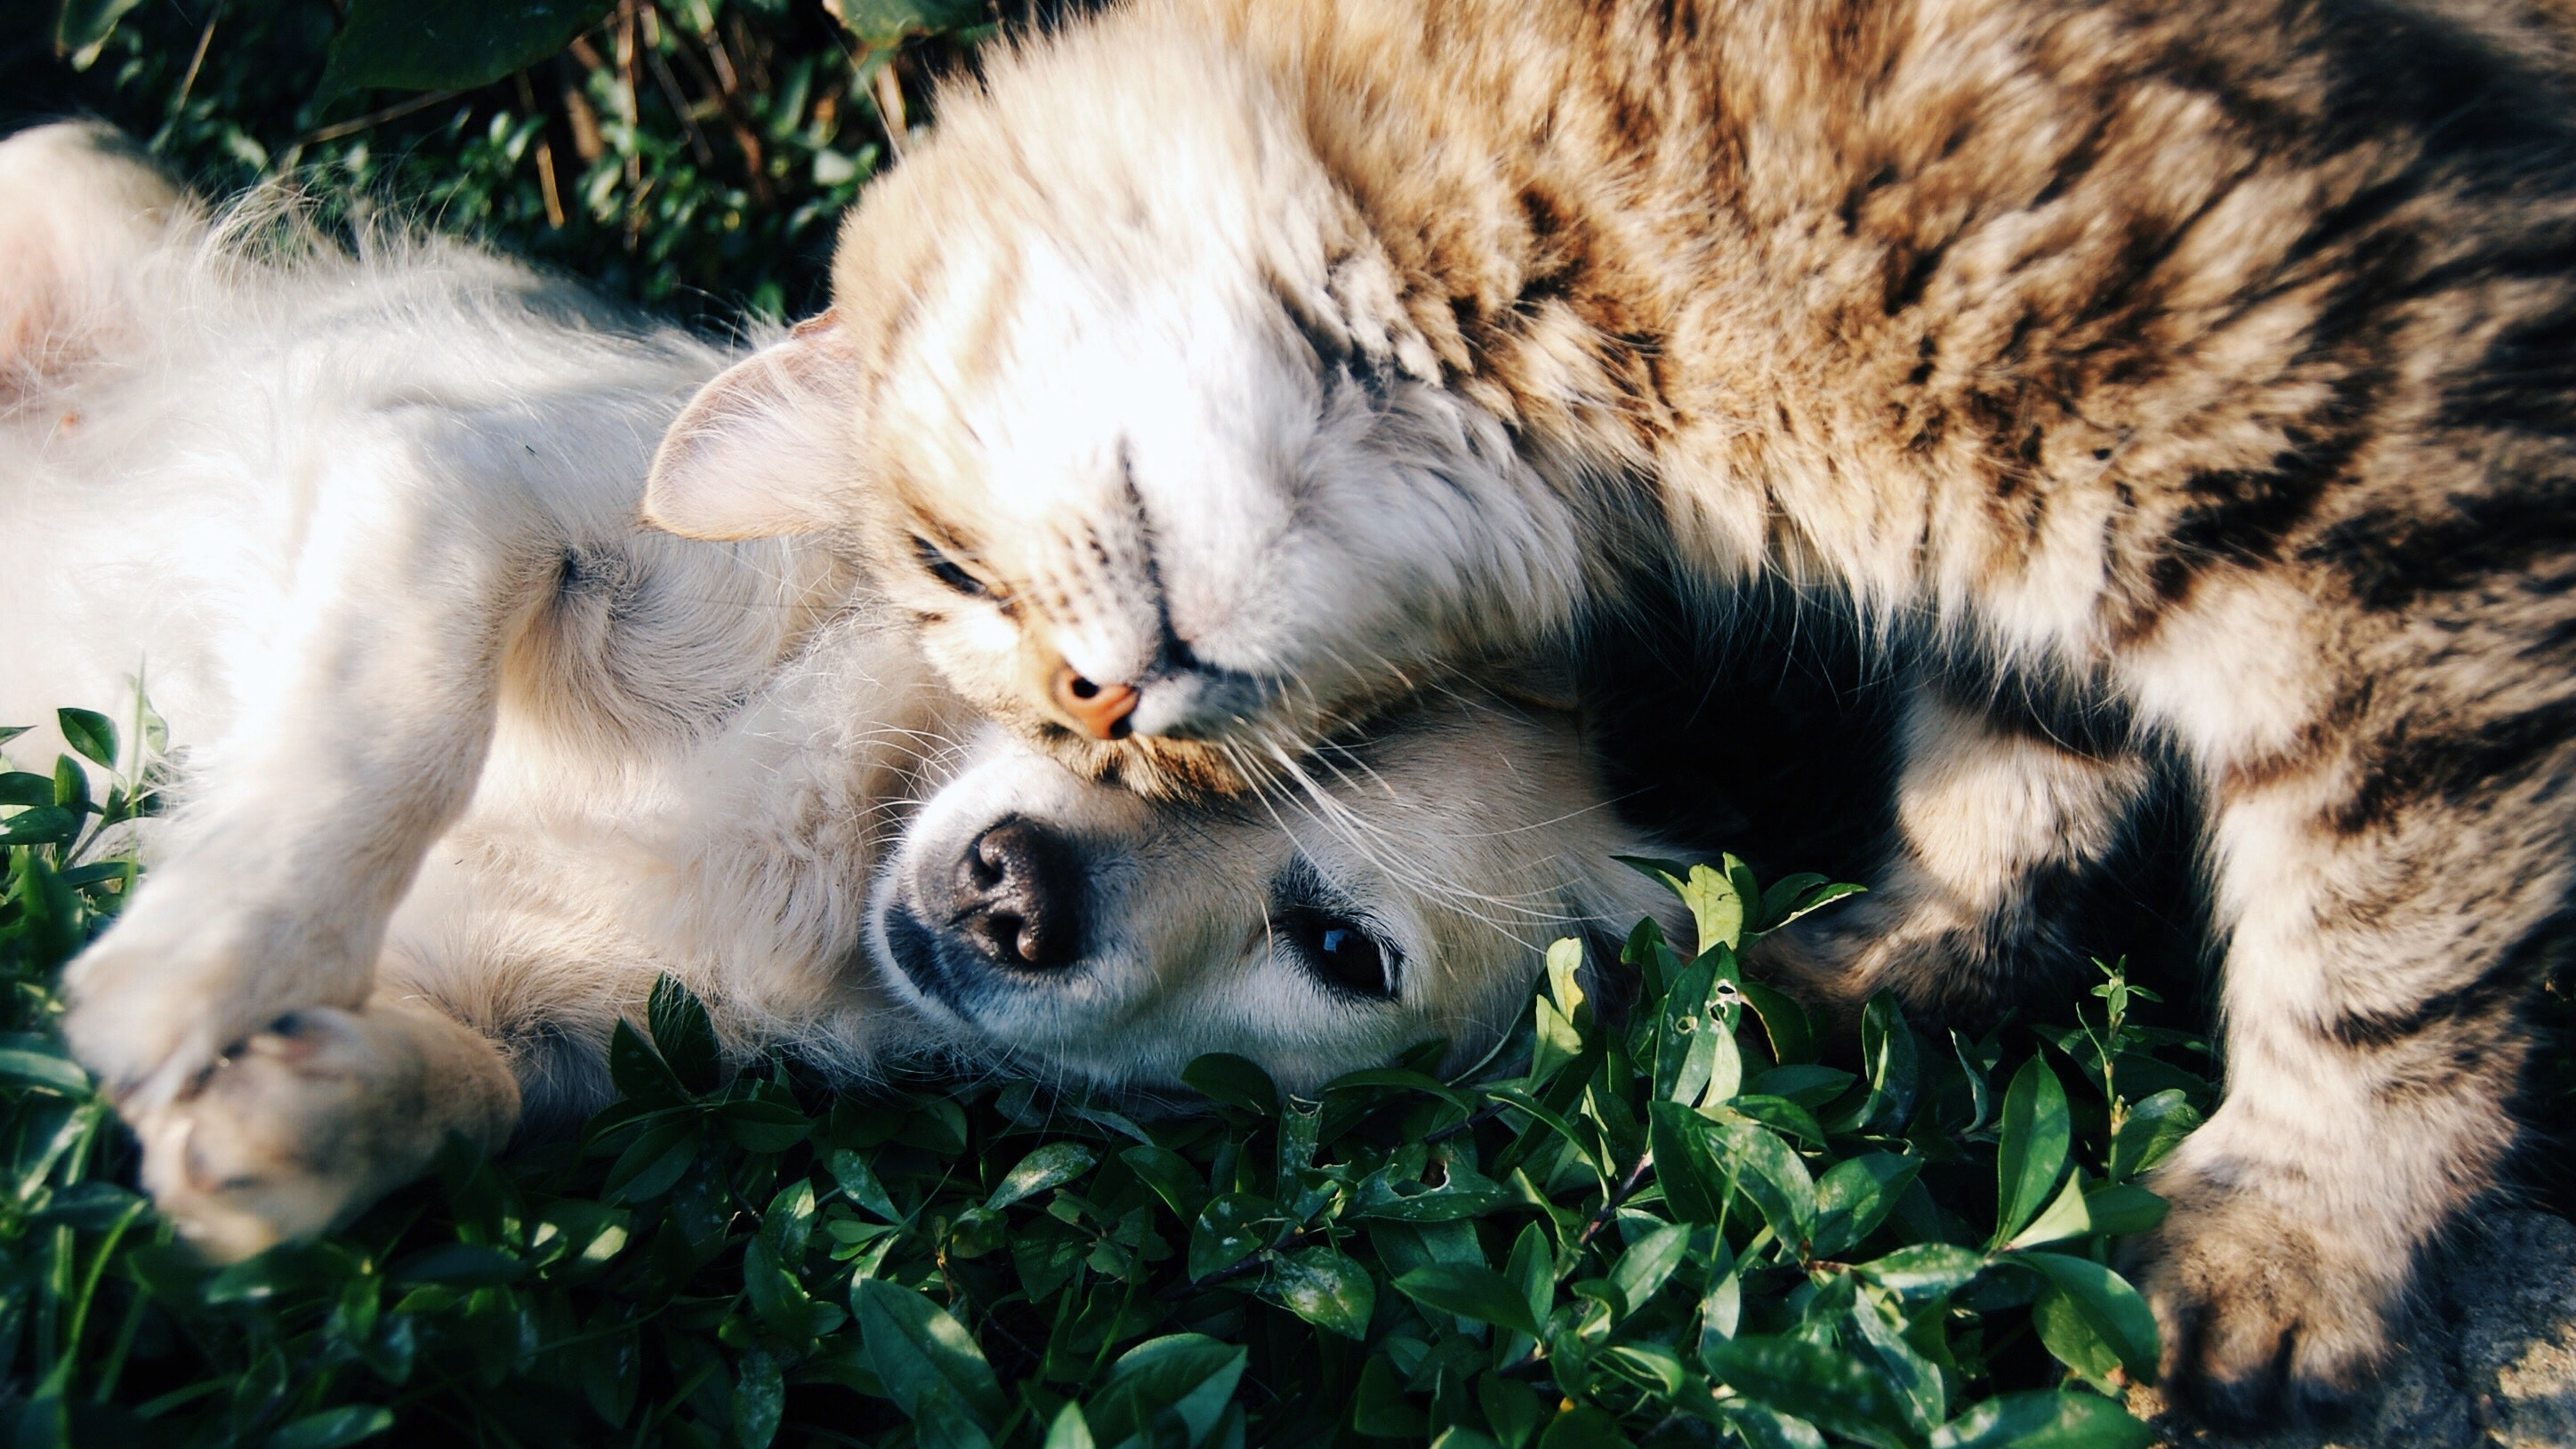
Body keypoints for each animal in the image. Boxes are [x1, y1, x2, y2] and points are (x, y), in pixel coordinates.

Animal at [0, 121, 1679, 1252]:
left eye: (1340, 950)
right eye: (1098, 692)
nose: (1014, 892)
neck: (843, 825)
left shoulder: (563, 1038)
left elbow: (472, 1089)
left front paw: (301, 1117)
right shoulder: (465, 479)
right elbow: (390, 727)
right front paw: (209, 958)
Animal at [648, 0, 2576, 1413]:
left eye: (942, 566)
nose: (1100, 707)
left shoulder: (2391, 492)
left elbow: (2378, 960)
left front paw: (2290, 1242)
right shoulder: (2045, 570)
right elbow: (2000, 787)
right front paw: (1890, 963)